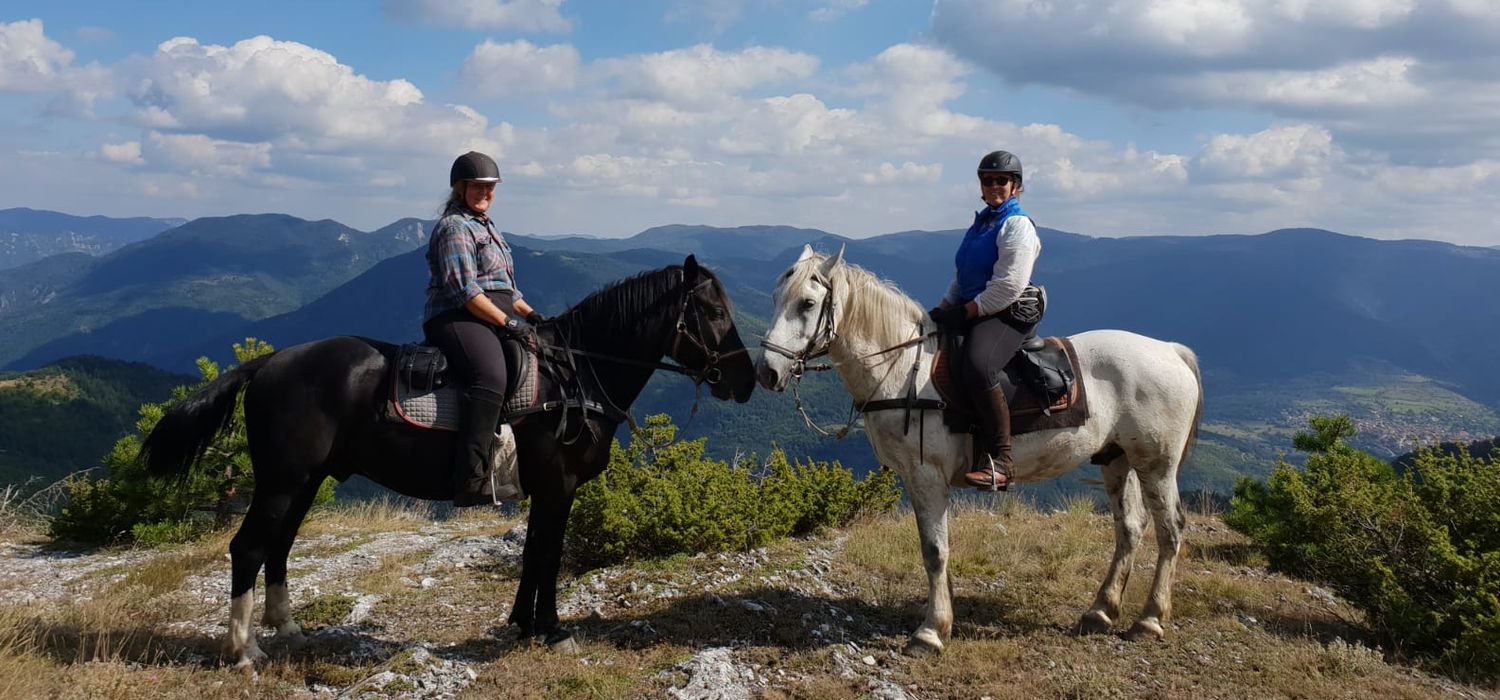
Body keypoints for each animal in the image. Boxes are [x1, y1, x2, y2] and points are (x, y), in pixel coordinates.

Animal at [141, 257, 750, 668]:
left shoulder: (545, 489)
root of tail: (269, 363)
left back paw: (287, 630)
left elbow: (532, 553)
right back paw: (244, 651)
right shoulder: (559, 486)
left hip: (303, 482)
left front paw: (522, 624)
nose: (745, 381)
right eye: (713, 310)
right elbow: (550, 555)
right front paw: (552, 630)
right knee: (248, 548)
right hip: (282, 481)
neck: (573, 376)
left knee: (280, 546)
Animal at [756, 244, 1200, 653]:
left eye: (807, 303)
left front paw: (930, 633)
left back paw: (1149, 620)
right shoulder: (917, 480)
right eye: (775, 298)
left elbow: (935, 550)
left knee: (1170, 529)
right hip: (1117, 458)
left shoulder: (928, 475)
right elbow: (935, 548)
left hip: (1156, 465)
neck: (902, 370)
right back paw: (1100, 612)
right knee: (1130, 527)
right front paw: (943, 617)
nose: (766, 372)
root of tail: (1171, 350)